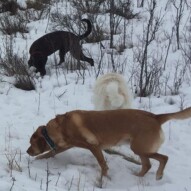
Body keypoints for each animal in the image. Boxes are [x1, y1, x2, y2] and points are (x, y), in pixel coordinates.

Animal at [26, 108, 191, 180]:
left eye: (31, 143)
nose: (27, 151)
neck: (60, 127)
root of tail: (155, 117)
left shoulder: (94, 146)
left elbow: (102, 165)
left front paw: (102, 181)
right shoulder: (66, 145)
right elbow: (49, 153)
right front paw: (38, 160)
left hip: (139, 148)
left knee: (164, 158)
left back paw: (158, 175)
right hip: (139, 149)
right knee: (147, 165)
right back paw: (137, 177)